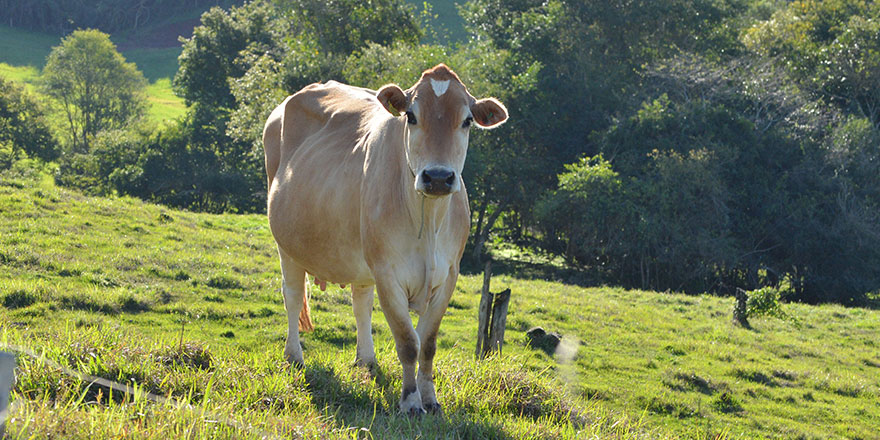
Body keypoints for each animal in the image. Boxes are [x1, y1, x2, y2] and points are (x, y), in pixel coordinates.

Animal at [262, 63, 508, 414]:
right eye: (411, 116)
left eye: (467, 120)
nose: (437, 177)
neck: (428, 220)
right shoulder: (388, 273)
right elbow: (408, 342)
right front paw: (411, 402)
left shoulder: (449, 274)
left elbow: (427, 344)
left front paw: (430, 399)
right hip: (288, 246)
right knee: (293, 297)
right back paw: (294, 356)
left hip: (362, 259)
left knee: (360, 303)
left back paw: (367, 359)